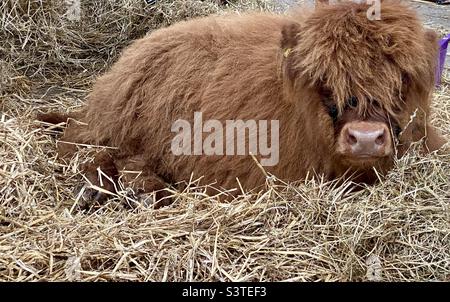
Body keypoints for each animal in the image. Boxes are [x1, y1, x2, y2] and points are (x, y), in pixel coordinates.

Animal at [39, 1, 446, 204]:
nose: (365, 138)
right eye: (323, 77)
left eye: (403, 77)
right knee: (85, 148)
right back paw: (100, 190)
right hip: (115, 122)